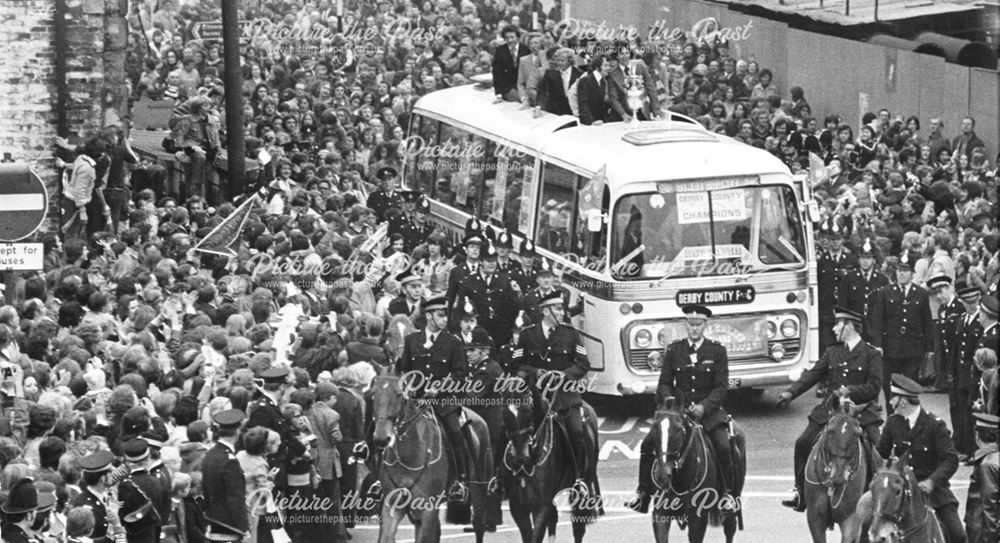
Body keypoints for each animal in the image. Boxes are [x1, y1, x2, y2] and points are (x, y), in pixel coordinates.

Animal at [370, 366, 494, 543]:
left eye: (399, 394)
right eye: (373, 394)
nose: (381, 438)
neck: (408, 455)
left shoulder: (428, 509)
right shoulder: (391, 507)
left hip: (478, 490)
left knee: (479, 526)